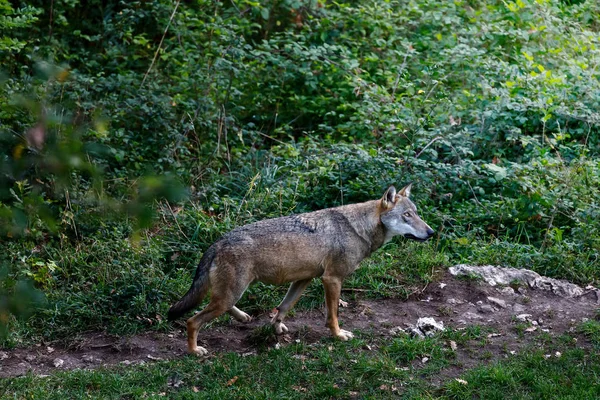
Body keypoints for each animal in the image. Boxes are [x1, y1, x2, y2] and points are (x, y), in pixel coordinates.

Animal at [166, 183, 434, 354]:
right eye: (407, 215)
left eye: (416, 213)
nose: (431, 232)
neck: (359, 228)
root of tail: (218, 242)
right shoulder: (332, 279)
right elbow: (333, 315)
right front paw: (338, 336)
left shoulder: (304, 279)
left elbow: (283, 308)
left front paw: (276, 328)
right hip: (232, 293)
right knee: (192, 321)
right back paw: (194, 351)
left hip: (233, 292)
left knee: (217, 305)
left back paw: (242, 317)